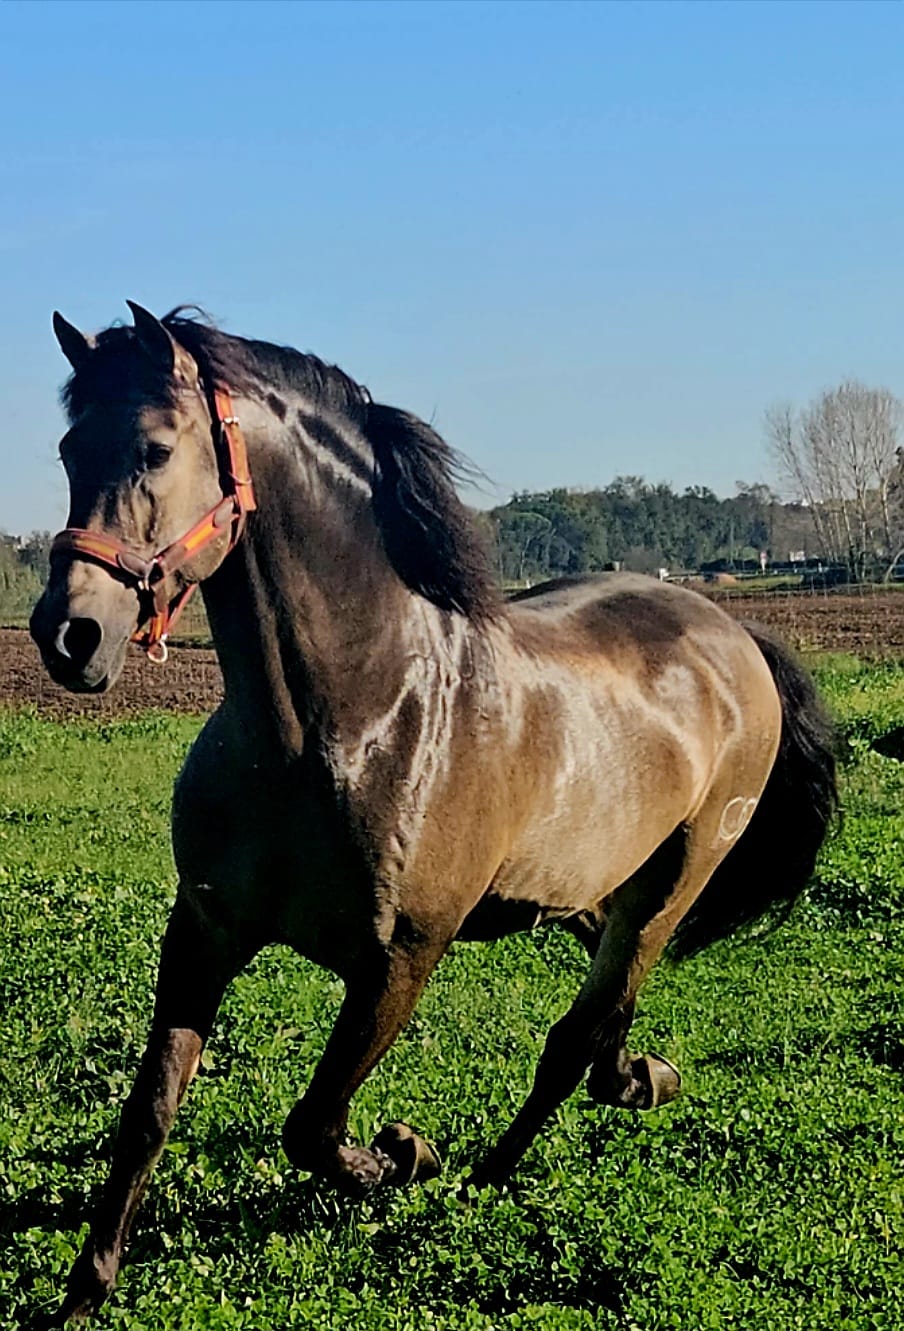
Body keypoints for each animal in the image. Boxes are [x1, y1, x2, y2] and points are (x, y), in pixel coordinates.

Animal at [30, 303, 837, 1323]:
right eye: (68, 448)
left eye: (155, 448)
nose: (68, 635)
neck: (347, 722)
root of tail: (733, 633)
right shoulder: (204, 929)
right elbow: (147, 1115)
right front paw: (83, 1291)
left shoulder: (400, 961)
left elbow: (312, 1124)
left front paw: (404, 1154)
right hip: (590, 889)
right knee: (602, 1016)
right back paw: (638, 1079)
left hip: (673, 886)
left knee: (577, 1033)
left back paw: (490, 1173)